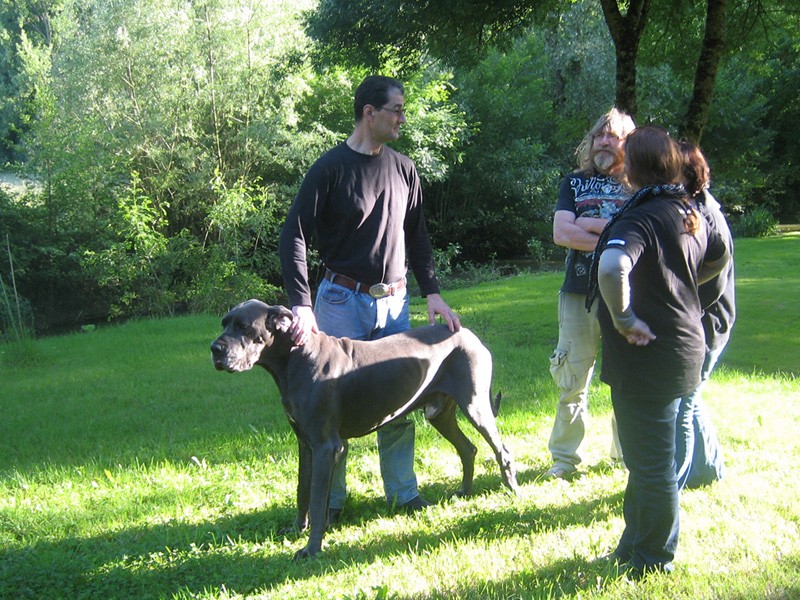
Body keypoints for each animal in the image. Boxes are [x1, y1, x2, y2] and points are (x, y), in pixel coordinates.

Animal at [209, 298, 520, 556]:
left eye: (244, 326)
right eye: (224, 322)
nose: (215, 349)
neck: (294, 360)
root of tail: (466, 332)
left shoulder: (326, 446)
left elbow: (318, 501)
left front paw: (311, 549)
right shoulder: (305, 443)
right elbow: (302, 489)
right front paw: (297, 529)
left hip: (475, 405)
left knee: (502, 451)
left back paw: (513, 493)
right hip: (440, 414)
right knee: (468, 449)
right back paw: (464, 493)